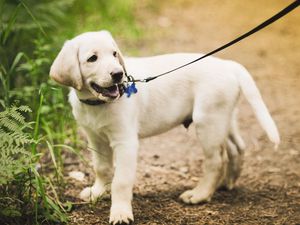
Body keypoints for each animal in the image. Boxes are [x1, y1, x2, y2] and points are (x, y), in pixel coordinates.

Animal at [49, 30, 278, 225]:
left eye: (114, 54)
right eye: (92, 59)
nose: (118, 74)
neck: (97, 104)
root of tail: (228, 65)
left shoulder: (125, 142)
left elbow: (121, 180)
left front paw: (120, 213)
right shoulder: (95, 138)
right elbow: (102, 168)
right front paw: (97, 192)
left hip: (208, 121)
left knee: (215, 160)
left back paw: (200, 194)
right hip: (224, 118)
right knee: (236, 147)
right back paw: (227, 182)